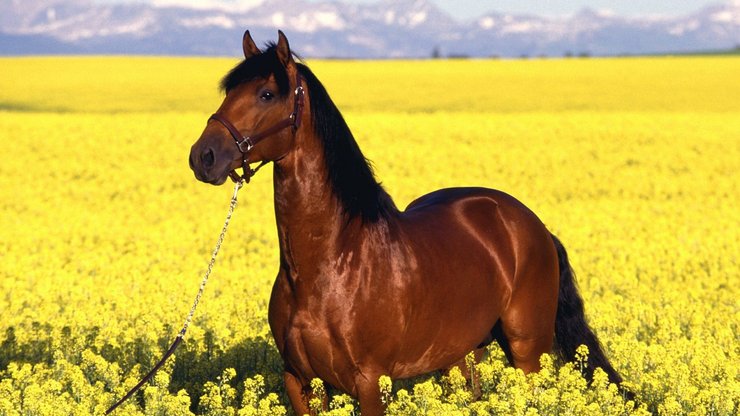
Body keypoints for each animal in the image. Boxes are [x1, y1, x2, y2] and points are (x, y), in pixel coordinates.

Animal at [186, 30, 624, 414]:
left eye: (266, 94)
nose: (203, 157)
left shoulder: (370, 382)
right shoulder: (300, 380)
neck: (329, 263)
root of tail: (533, 225)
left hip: (527, 351)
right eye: (229, 92)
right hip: (462, 354)